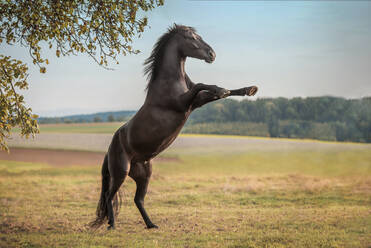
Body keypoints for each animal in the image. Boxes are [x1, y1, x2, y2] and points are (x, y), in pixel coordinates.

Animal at [91, 24, 258, 230]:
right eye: (192, 37)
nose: (212, 54)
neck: (170, 81)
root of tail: (109, 149)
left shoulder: (195, 103)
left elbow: (215, 92)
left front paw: (249, 89)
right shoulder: (182, 102)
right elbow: (203, 85)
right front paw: (221, 90)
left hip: (144, 174)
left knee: (138, 199)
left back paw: (151, 224)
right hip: (120, 172)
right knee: (109, 195)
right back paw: (112, 225)